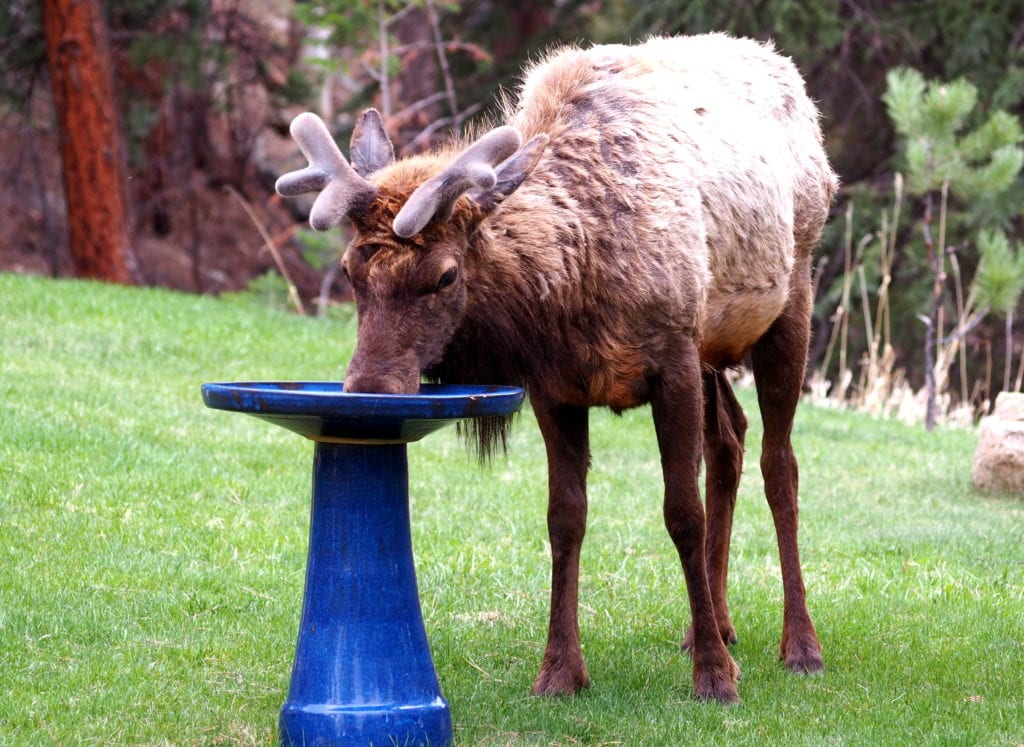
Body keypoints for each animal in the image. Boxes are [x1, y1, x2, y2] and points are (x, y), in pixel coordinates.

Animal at [275, 33, 838, 704]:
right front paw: (561, 670)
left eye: (445, 275)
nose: (368, 389)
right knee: (729, 439)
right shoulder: (556, 387)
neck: (571, 290)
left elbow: (682, 514)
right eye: (351, 273)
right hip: (712, 348)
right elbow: (564, 518)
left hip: (789, 302)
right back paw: (718, 626)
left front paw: (714, 679)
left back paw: (799, 645)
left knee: (781, 466)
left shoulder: (673, 357)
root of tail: (787, 69)